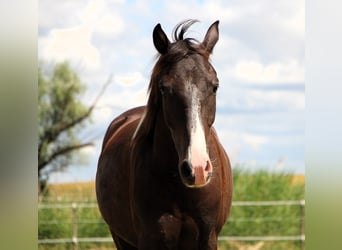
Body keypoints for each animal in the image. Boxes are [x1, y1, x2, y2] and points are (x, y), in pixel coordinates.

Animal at [97, 20, 234, 250]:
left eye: (215, 86)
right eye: (163, 88)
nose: (197, 169)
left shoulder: (207, 238)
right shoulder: (151, 239)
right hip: (120, 238)